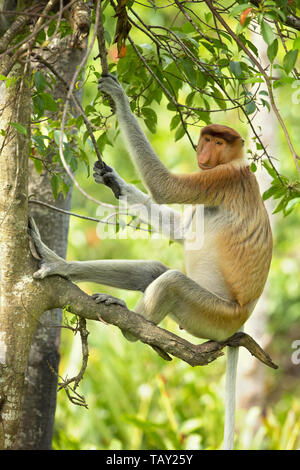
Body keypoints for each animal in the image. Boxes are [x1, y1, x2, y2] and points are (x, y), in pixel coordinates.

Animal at [30, 75, 272, 450]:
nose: (204, 153)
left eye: (219, 142)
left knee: (172, 280)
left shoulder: (221, 179)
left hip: (214, 316)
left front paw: (119, 97)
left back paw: (132, 325)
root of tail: (240, 322)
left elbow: (165, 187)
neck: (233, 163)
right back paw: (62, 267)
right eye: (206, 139)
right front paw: (111, 178)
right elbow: (181, 232)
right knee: (155, 271)